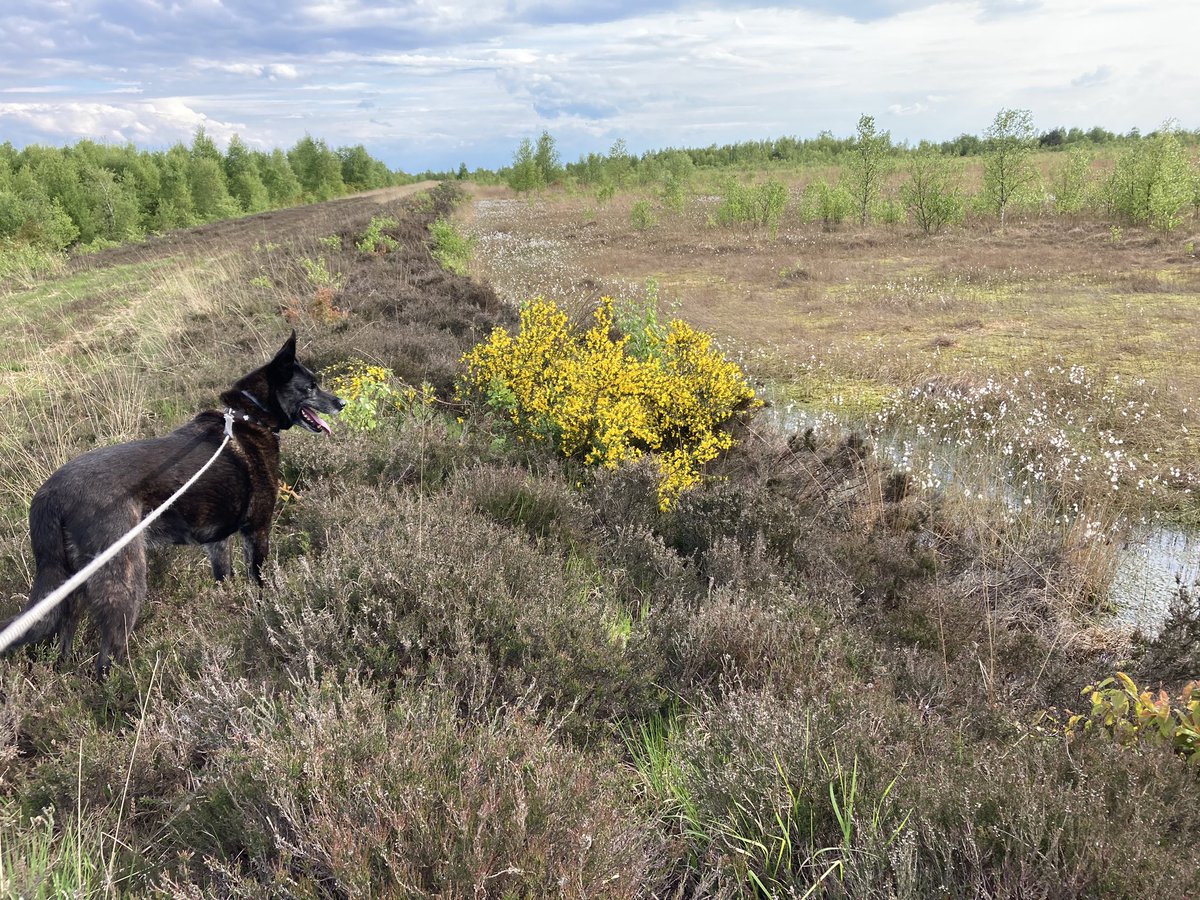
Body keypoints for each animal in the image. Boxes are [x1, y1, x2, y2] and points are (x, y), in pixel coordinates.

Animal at [1, 331, 348, 676]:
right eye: (310, 386)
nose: (341, 403)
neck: (250, 416)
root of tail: (51, 495)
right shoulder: (258, 529)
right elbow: (261, 581)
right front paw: (265, 610)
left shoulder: (217, 542)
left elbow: (225, 578)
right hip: (125, 581)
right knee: (106, 661)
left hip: (70, 590)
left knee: (65, 638)